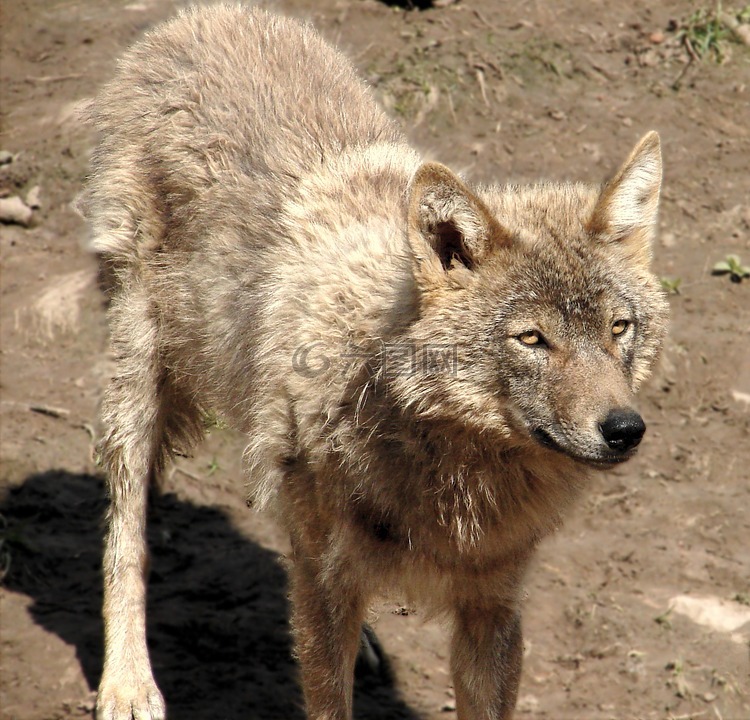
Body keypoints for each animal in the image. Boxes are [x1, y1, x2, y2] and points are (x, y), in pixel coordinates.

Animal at [79, 2, 672, 716]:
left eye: (618, 328)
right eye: (532, 339)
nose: (624, 429)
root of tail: (203, 16)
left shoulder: (492, 606)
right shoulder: (327, 582)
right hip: (136, 388)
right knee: (125, 537)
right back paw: (127, 683)